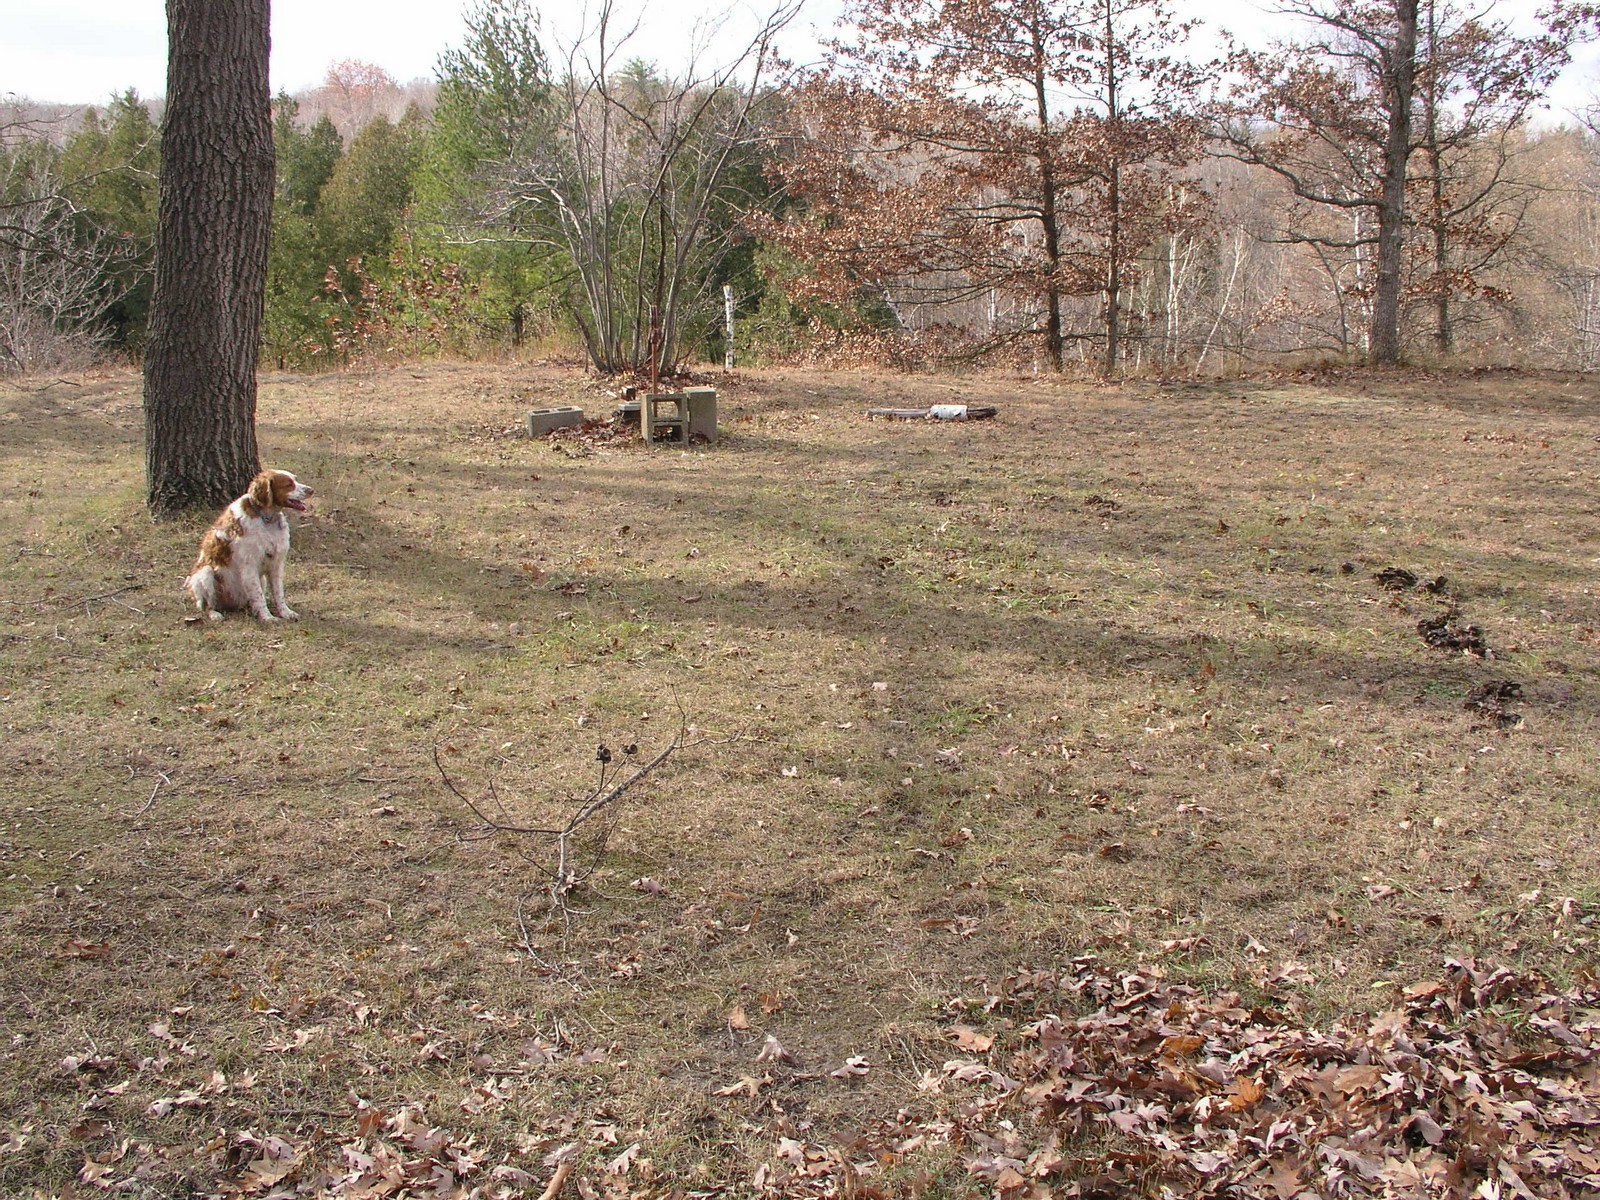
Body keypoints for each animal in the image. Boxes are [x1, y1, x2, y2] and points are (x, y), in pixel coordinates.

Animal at [184, 470, 312, 624]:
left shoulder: (276, 564)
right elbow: (259, 596)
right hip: (205, 573)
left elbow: (278, 594)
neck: (266, 519)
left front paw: (286, 613)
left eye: (295, 480)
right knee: (207, 605)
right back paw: (215, 614)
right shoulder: (249, 565)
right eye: (288, 484)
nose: (311, 490)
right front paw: (268, 617)